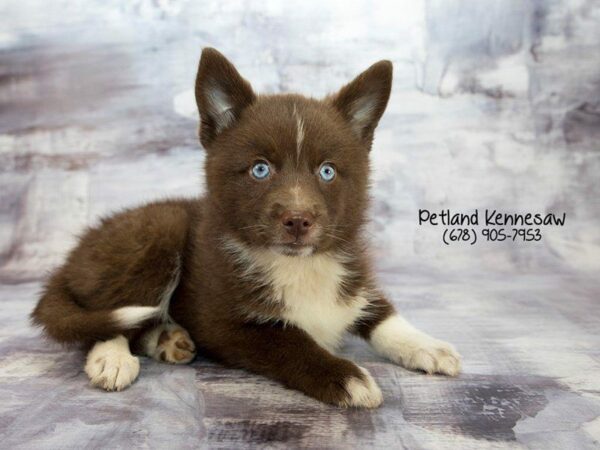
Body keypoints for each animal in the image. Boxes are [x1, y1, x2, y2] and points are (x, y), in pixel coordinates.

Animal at [30, 49, 462, 408]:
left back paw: (169, 339)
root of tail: (69, 260)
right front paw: (347, 378)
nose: (298, 220)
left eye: (327, 172)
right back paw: (112, 358)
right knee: (105, 320)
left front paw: (429, 346)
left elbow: (383, 313)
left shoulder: (353, 277)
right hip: (158, 231)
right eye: (260, 169)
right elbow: (289, 341)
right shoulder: (225, 323)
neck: (300, 266)